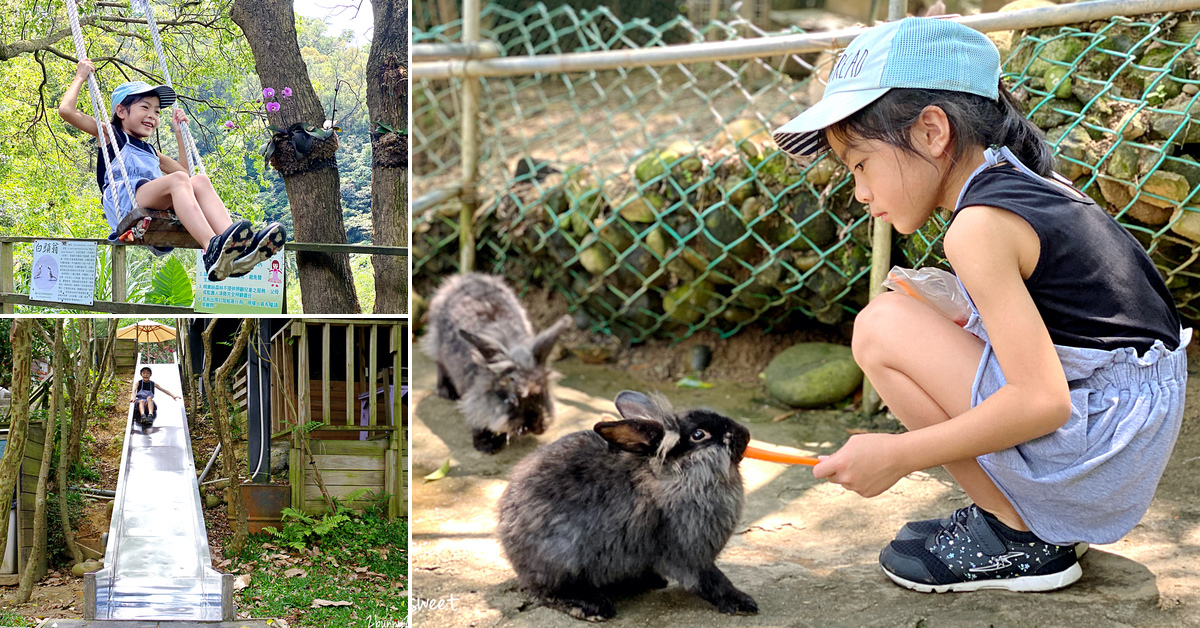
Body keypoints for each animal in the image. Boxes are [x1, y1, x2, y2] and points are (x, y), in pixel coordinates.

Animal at [496, 391, 758, 619]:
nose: (746, 434)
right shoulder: (689, 553)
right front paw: (743, 603)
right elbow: (711, 581)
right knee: (547, 592)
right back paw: (593, 607)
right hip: (561, 558)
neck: (675, 473)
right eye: (699, 435)